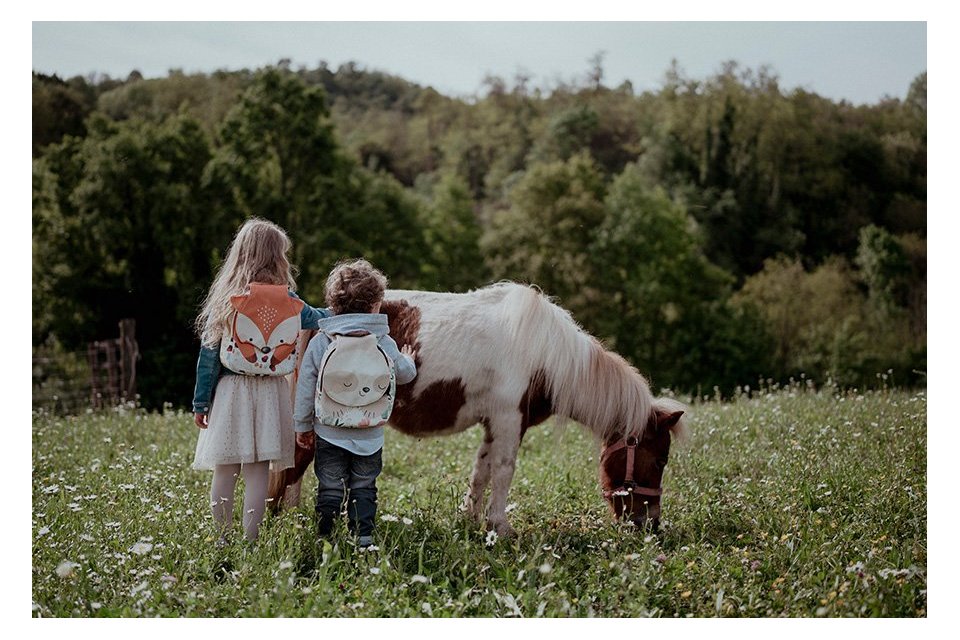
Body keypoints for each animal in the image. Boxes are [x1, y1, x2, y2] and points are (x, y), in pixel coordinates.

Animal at [268, 284, 688, 536]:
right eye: (660, 459)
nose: (650, 526)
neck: (546, 354)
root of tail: (319, 315)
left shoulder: (495, 424)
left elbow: (481, 471)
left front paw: (470, 518)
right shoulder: (508, 420)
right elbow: (502, 472)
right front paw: (500, 526)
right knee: (294, 465)